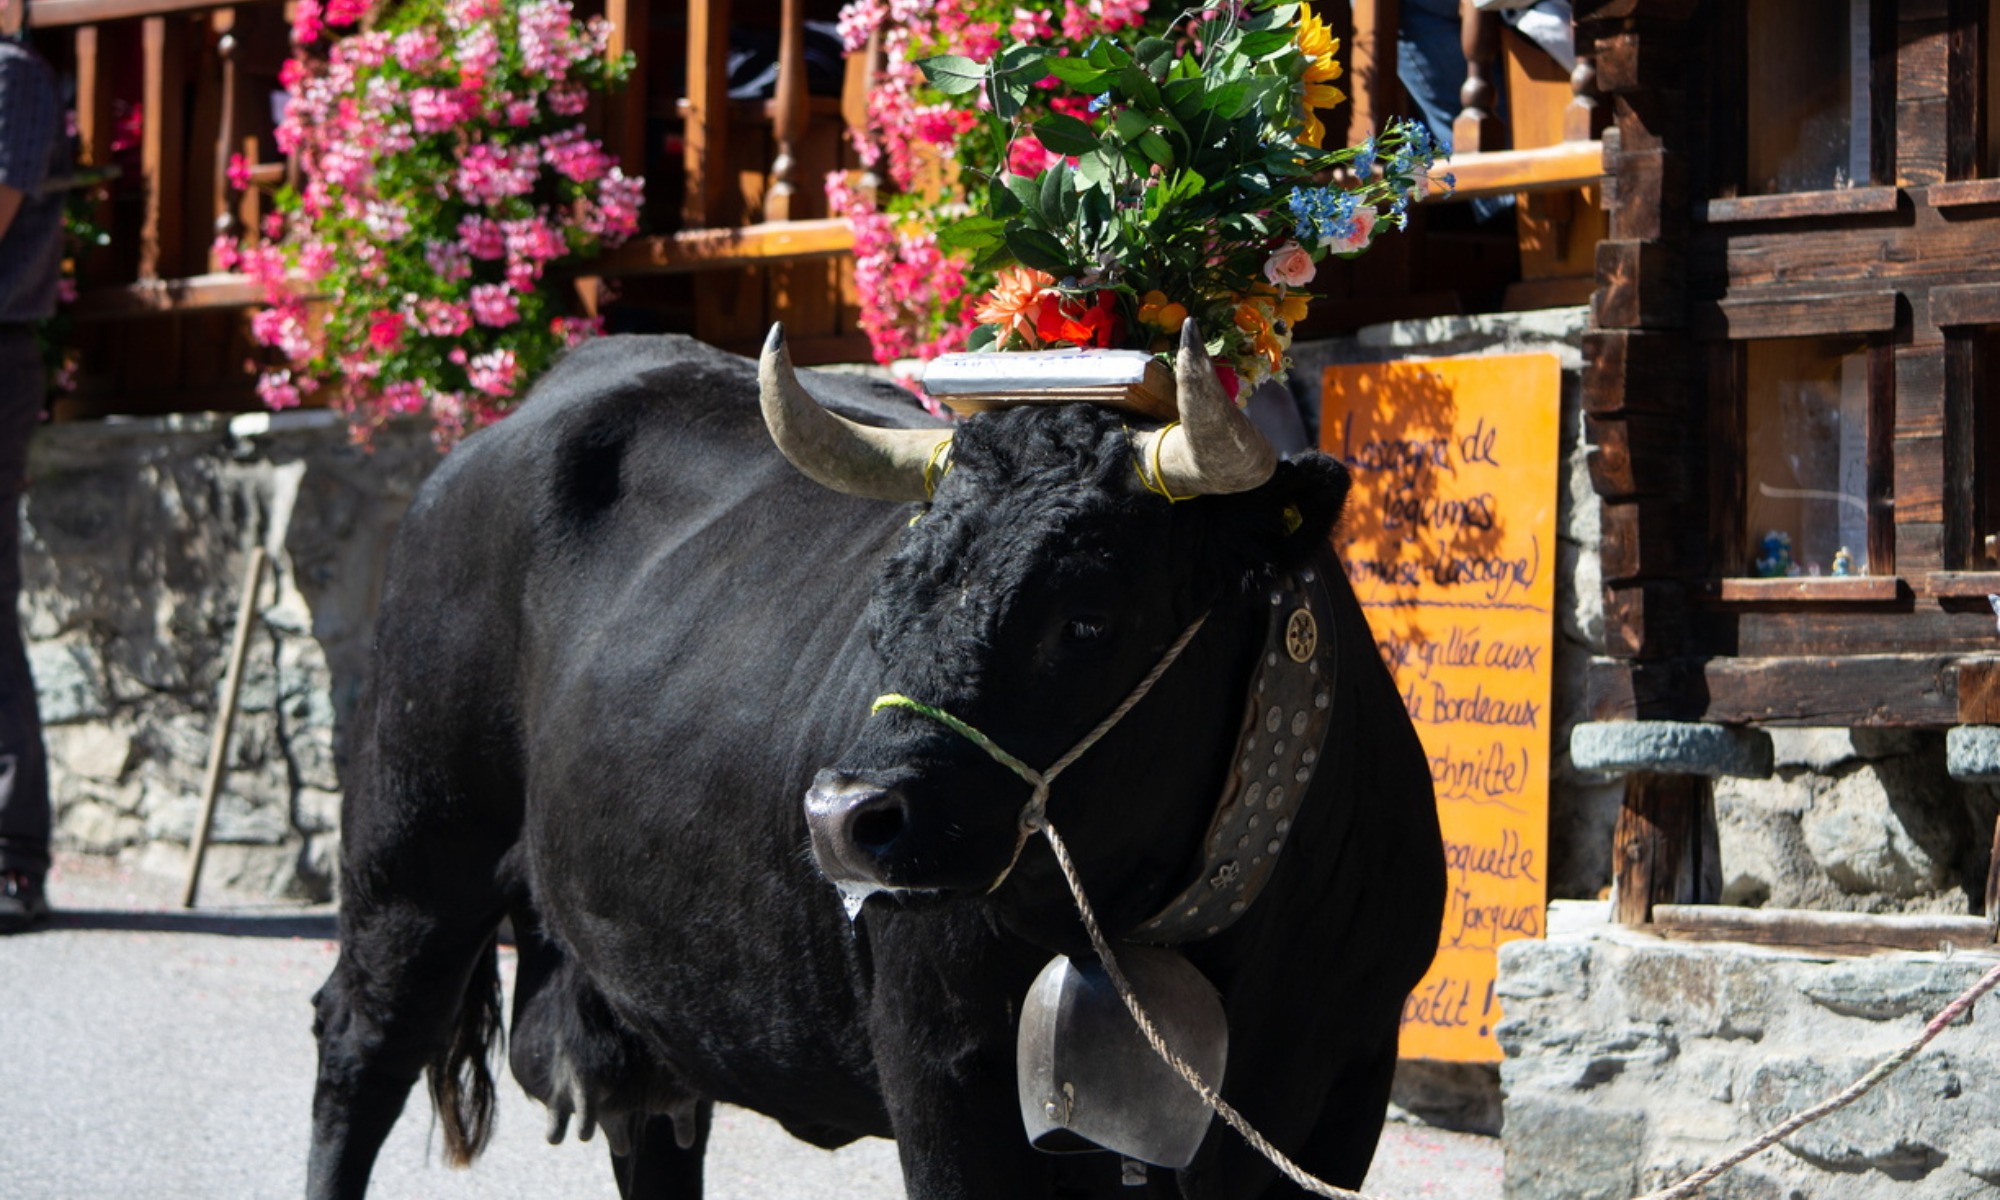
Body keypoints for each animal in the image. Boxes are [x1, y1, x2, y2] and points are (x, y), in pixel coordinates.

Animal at [304, 336, 1440, 1200]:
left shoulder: (1339, 1091)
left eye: (1087, 614)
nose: (843, 817)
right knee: (358, 1052)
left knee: (652, 1127)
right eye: (892, 588)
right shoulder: (947, 1081)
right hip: (414, 858)